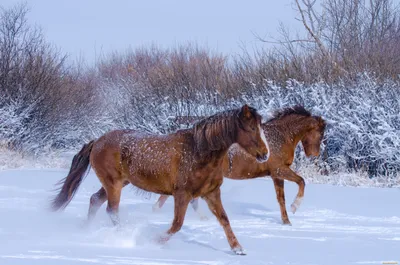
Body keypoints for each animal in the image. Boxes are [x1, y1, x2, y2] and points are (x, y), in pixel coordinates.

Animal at [50, 104, 268, 255]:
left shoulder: (211, 193)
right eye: (251, 129)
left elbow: (224, 219)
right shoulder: (182, 194)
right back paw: (123, 236)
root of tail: (97, 141)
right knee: (112, 210)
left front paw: (238, 248)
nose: (265, 154)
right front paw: (155, 241)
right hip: (113, 184)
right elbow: (177, 224)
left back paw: (86, 230)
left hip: (117, 183)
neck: (198, 152)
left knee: (95, 200)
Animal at [152, 105, 324, 225]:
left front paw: (286, 221)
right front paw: (295, 207)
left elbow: (281, 199)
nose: (314, 154)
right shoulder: (279, 170)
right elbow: (301, 181)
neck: (280, 137)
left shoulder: (276, 175)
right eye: (320, 133)